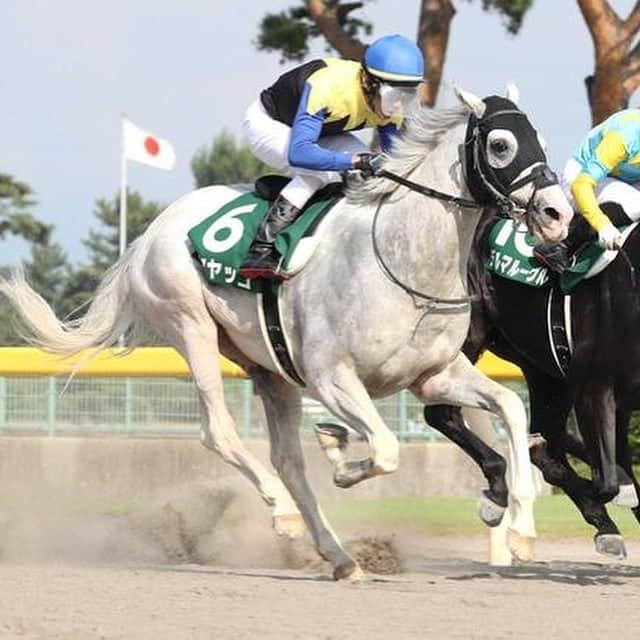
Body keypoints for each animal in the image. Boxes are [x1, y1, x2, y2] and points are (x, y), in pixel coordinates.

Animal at [0, 87, 568, 584]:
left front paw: (520, 530)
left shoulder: (431, 375)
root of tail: (149, 234)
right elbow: (385, 449)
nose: (556, 213)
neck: (401, 258)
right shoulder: (330, 375)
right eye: (501, 145)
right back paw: (283, 512)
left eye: (539, 137)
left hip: (267, 367)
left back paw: (339, 556)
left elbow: (510, 409)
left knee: (288, 461)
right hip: (190, 325)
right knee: (220, 432)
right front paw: (341, 460)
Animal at [424, 208, 640, 556]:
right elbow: (604, 482)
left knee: (552, 435)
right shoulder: (596, 390)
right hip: (468, 340)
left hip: (544, 371)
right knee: (442, 414)